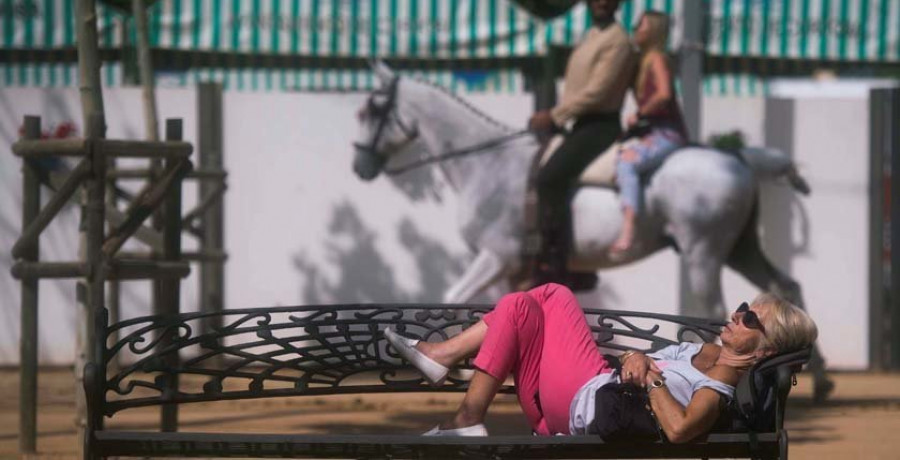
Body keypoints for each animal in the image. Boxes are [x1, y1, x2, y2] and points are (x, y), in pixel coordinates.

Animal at [350, 63, 828, 398]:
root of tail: (737, 159)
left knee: (718, 306)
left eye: (371, 108)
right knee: (786, 287)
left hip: (703, 254)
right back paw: (815, 377)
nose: (360, 167)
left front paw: (455, 366)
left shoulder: (495, 256)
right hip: (739, 249)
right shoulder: (507, 270)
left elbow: (453, 298)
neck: (488, 165)